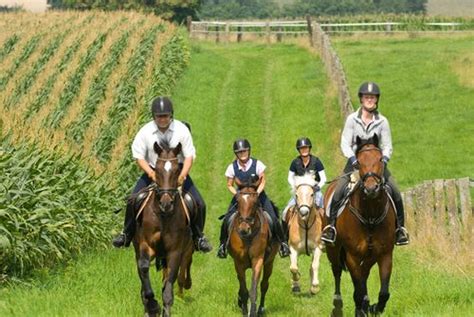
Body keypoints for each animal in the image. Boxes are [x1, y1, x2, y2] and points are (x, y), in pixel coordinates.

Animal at [132, 141, 193, 316]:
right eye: (157, 170)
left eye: (177, 170)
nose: (166, 204)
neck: (163, 217)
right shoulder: (145, 246)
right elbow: (144, 269)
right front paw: (152, 305)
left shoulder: (175, 251)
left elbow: (169, 286)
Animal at [230, 177, 282, 314]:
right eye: (238, 201)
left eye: (255, 202)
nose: (244, 229)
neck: (248, 237)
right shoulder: (238, 263)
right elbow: (243, 289)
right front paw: (243, 309)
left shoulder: (258, 260)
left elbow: (254, 290)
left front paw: (252, 311)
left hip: (269, 262)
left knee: (264, 285)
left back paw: (261, 308)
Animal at [324, 135, 398, 316]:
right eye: (358, 161)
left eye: (380, 159)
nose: (371, 188)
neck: (370, 215)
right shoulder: (353, 256)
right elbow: (358, 290)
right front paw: (362, 308)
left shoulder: (385, 254)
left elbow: (383, 292)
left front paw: (374, 307)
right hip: (333, 250)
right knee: (337, 271)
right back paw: (338, 305)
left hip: (370, 257)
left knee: (363, 275)